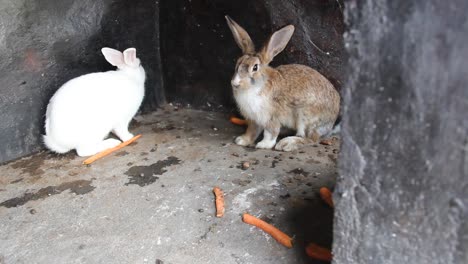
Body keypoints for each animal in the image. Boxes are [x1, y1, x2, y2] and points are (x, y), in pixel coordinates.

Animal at [225, 16, 338, 152]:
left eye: (255, 67)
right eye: (237, 63)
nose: (235, 83)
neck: (258, 85)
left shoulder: (272, 117)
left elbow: (270, 133)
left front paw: (264, 145)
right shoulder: (254, 119)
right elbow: (252, 131)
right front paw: (242, 140)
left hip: (305, 117)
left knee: (310, 138)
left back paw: (286, 143)